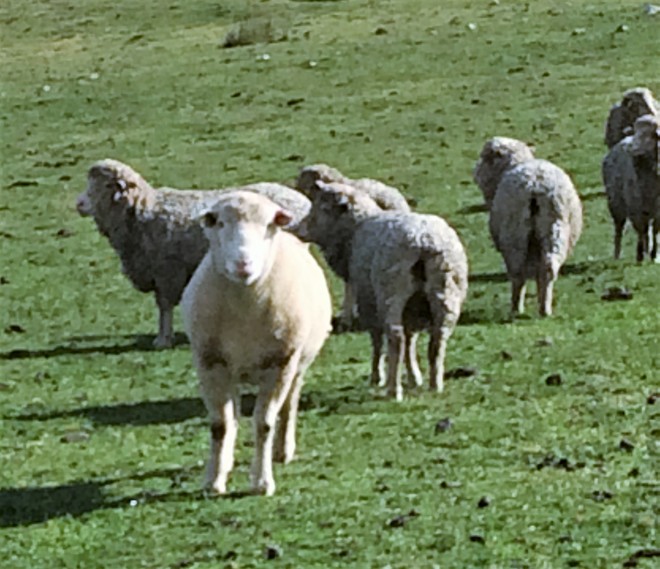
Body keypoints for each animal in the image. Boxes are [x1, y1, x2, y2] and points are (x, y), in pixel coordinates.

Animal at [75, 159, 311, 348]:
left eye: (106, 185)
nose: (79, 204)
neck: (142, 211)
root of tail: (302, 201)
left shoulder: (167, 272)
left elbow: (164, 307)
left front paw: (163, 340)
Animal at [181, 191, 332, 496]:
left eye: (267, 225)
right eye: (220, 223)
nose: (243, 264)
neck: (244, 310)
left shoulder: (281, 363)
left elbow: (264, 424)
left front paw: (262, 482)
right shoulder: (209, 362)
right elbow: (220, 424)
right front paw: (214, 480)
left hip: (298, 365)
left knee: (289, 405)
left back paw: (282, 451)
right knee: (233, 417)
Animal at [303, 181, 468, 401]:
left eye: (322, 206)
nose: (302, 229)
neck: (355, 230)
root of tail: (425, 242)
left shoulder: (367, 300)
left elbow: (377, 340)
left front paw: (376, 376)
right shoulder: (412, 307)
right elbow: (411, 341)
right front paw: (414, 377)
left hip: (391, 291)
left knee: (396, 336)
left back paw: (393, 389)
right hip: (447, 291)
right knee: (438, 338)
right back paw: (435, 385)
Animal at [474, 139, 583, 316]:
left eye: (484, 157)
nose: (475, 173)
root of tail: (535, 186)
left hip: (514, 233)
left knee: (517, 272)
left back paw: (516, 308)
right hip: (554, 228)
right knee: (548, 266)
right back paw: (545, 309)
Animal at [602, 113, 660, 261]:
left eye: (648, 135)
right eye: (636, 132)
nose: (631, 149)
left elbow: (655, 231)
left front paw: (654, 255)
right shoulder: (635, 206)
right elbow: (640, 230)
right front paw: (640, 255)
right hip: (615, 204)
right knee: (619, 229)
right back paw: (617, 255)